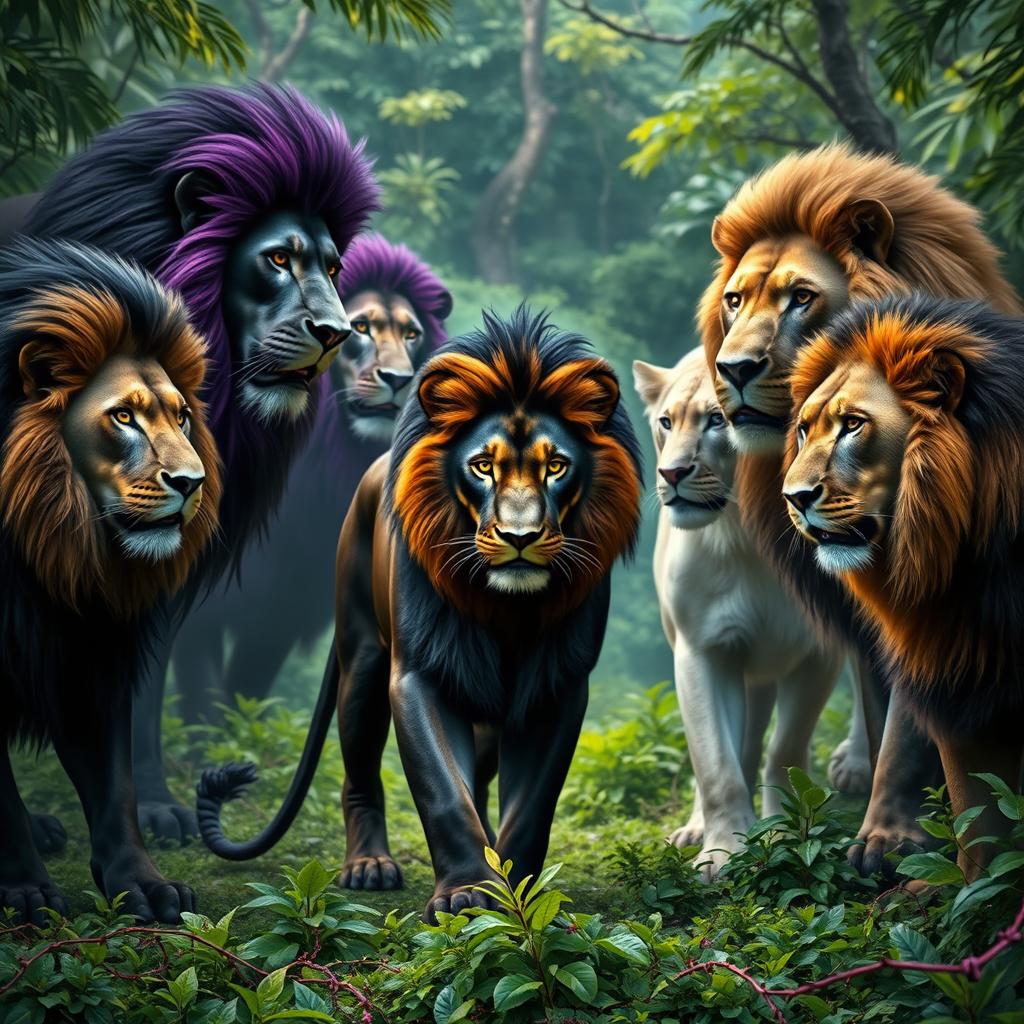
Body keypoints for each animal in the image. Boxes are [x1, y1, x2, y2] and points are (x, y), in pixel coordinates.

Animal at [0, 237, 220, 924]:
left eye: (182, 416)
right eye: (123, 416)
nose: (192, 483)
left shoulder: (90, 646)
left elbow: (113, 782)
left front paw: (143, 885)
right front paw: (24, 891)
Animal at [170, 235, 453, 722]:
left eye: (412, 334)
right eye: (361, 327)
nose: (399, 380)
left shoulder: (283, 602)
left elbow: (245, 691)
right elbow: (202, 694)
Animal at [195, 307, 643, 921]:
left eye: (556, 466)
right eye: (482, 466)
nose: (520, 538)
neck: (506, 608)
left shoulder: (558, 685)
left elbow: (531, 805)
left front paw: (515, 895)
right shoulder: (420, 673)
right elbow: (443, 789)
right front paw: (465, 894)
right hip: (362, 664)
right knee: (360, 771)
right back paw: (367, 866)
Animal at [634, 348, 844, 878]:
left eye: (717, 421)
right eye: (666, 422)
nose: (671, 474)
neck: (751, 539)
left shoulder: (820, 653)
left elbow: (786, 748)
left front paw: (788, 831)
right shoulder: (702, 650)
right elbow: (716, 761)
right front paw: (723, 850)